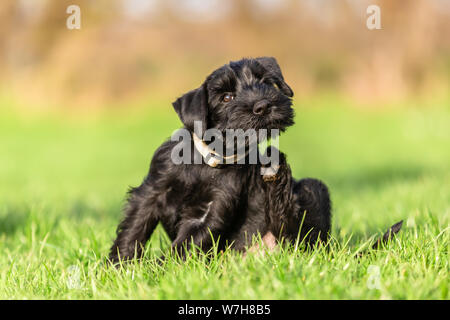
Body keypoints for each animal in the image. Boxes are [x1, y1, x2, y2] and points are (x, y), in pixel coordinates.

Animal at [108, 57, 332, 262]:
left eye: (266, 82)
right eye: (226, 97)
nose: (263, 105)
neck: (208, 158)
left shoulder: (213, 207)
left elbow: (185, 243)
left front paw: (160, 268)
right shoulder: (152, 191)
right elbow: (135, 228)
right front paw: (119, 265)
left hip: (314, 188)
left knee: (296, 236)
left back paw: (276, 169)